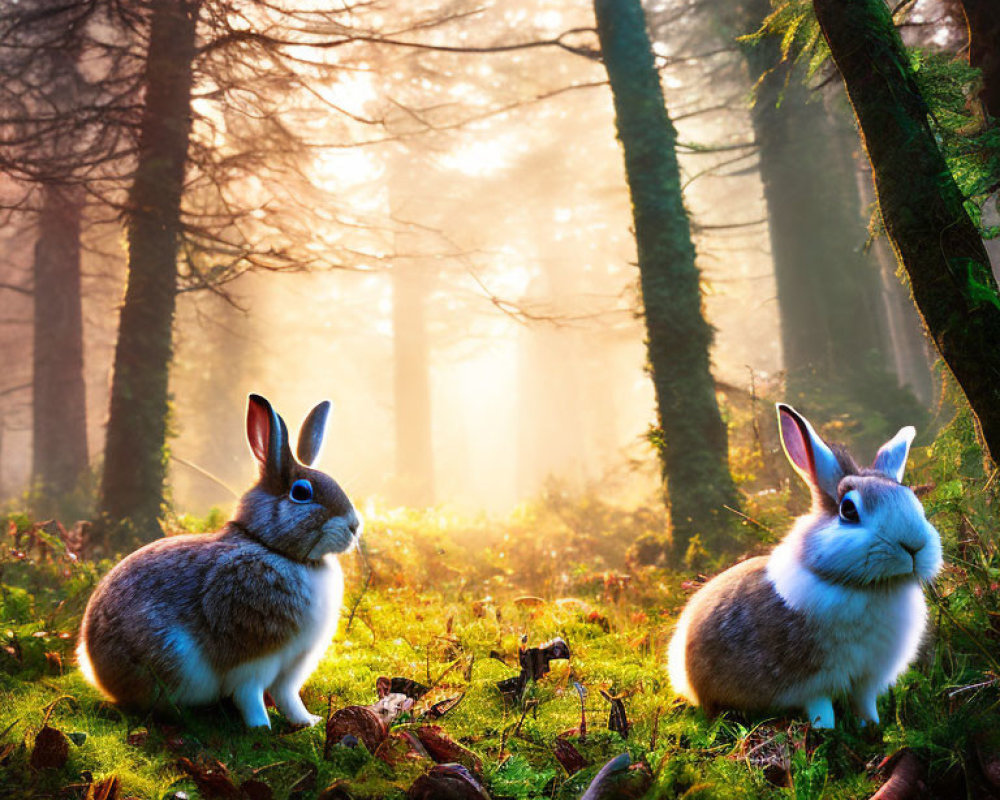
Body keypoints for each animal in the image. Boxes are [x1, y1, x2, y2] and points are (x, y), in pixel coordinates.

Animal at [77, 396, 360, 728]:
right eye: (301, 492)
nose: (355, 525)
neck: (273, 547)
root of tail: (93, 666)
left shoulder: (294, 663)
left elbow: (289, 697)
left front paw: (307, 721)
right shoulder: (254, 661)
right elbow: (250, 694)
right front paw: (260, 727)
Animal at [668, 404, 940, 728]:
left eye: (911, 498)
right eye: (848, 510)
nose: (914, 545)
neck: (870, 587)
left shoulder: (867, 679)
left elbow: (865, 705)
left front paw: (872, 728)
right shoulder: (812, 683)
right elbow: (822, 710)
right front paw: (827, 732)